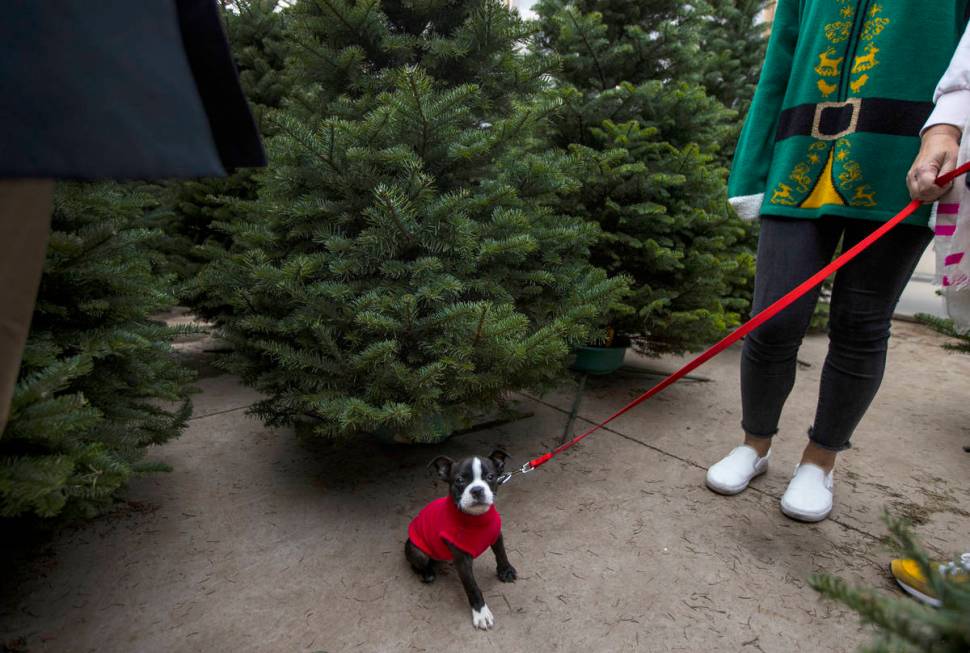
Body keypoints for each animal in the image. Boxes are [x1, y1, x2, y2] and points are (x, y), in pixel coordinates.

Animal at [404, 450, 520, 628]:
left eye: (491, 477)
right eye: (459, 480)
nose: (477, 490)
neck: (476, 519)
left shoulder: (496, 535)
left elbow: (501, 553)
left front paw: (505, 571)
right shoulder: (462, 561)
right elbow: (472, 586)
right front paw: (481, 613)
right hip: (417, 551)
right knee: (418, 563)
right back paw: (427, 573)